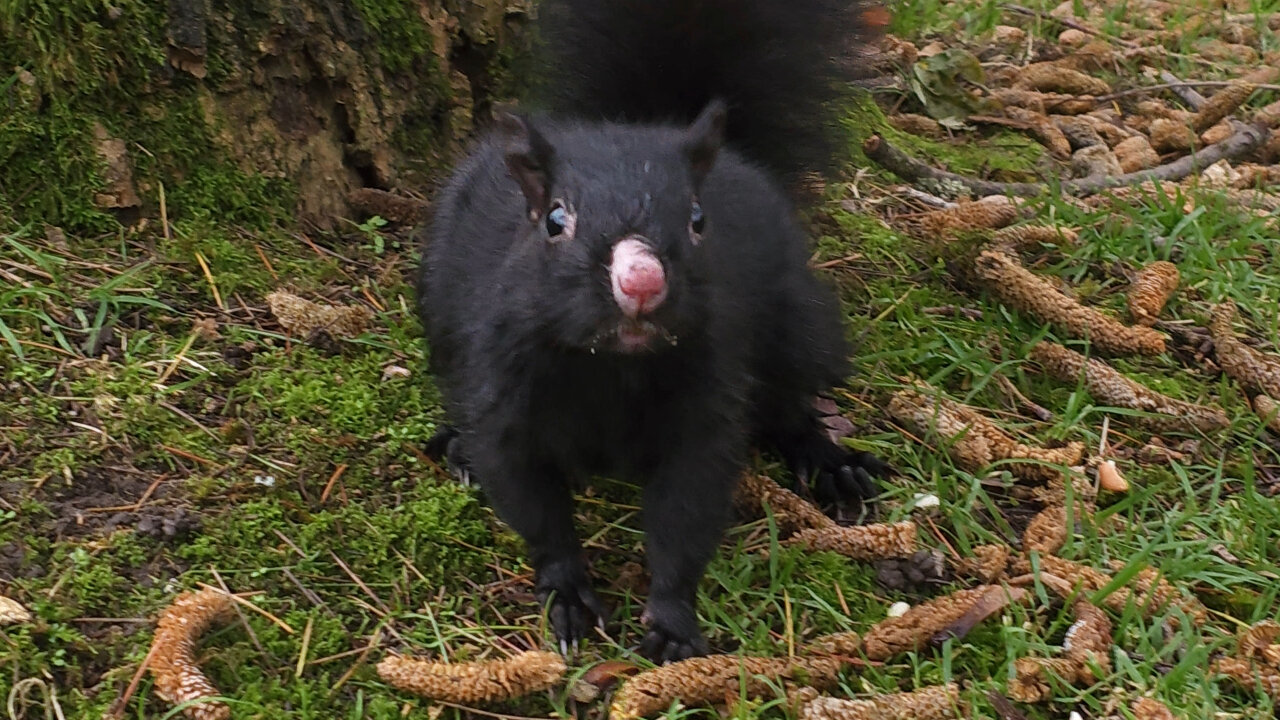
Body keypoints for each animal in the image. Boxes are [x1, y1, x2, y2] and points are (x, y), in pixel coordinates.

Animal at [417, 0, 890, 661]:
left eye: (697, 218)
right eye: (555, 220)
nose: (641, 282)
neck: (614, 365)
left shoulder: (705, 408)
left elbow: (685, 516)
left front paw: (671, 623)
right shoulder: (504, 397)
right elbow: (532, 504)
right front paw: (567, 594)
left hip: (797, 324)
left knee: (788, 401)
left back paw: (830, 463)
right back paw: (456, 444)